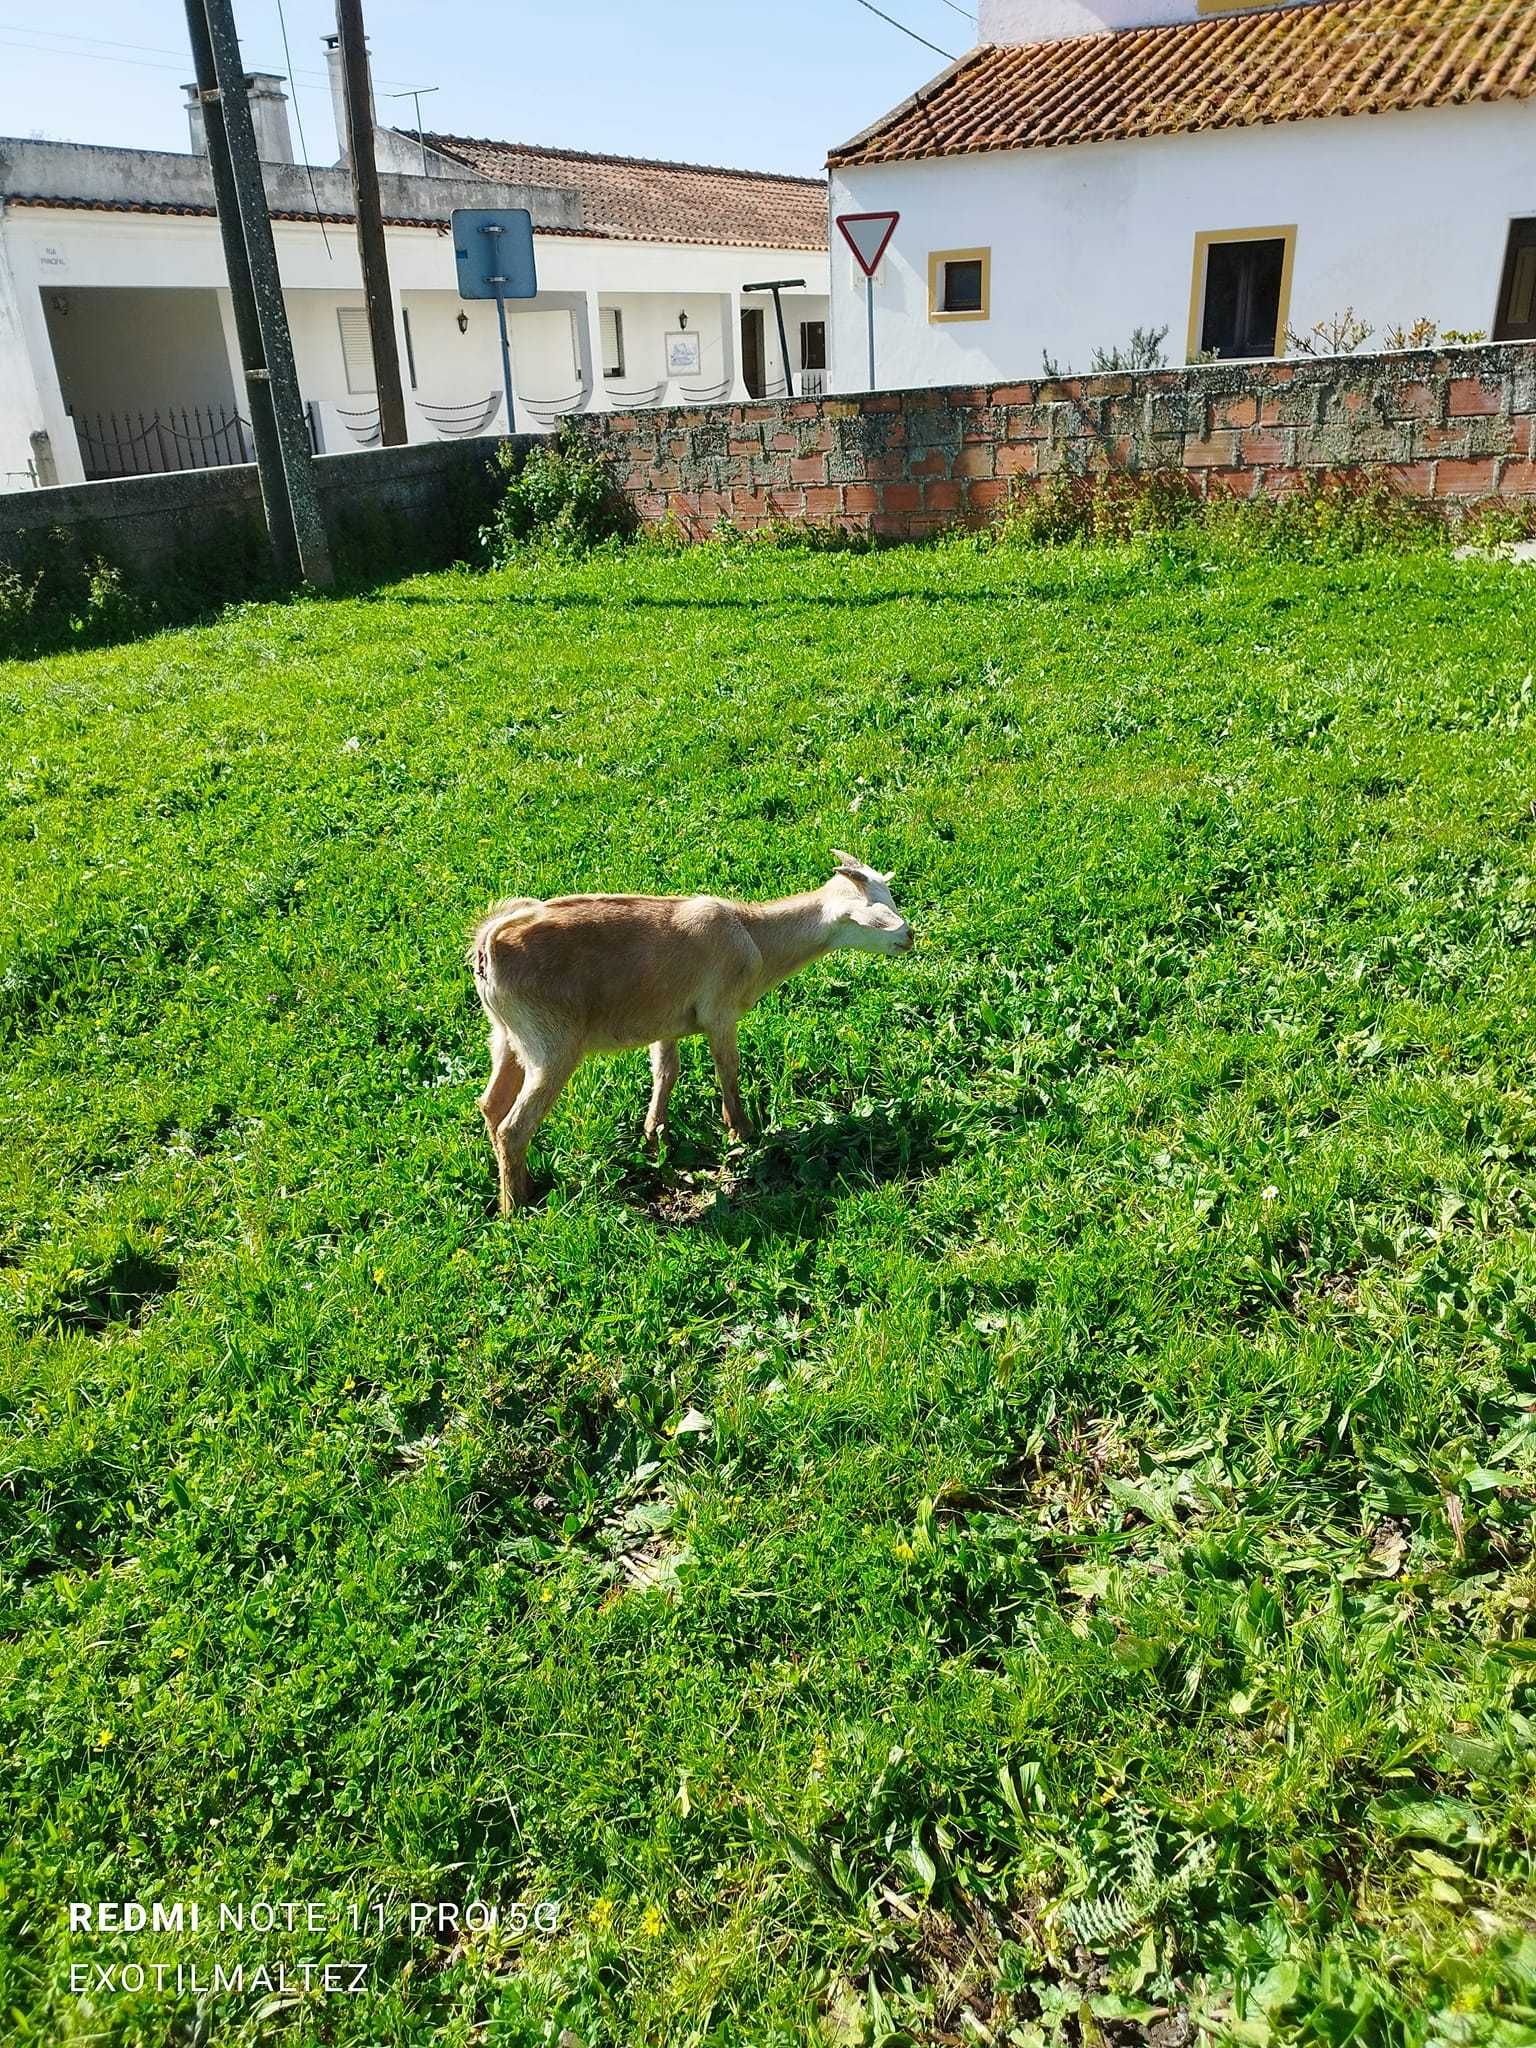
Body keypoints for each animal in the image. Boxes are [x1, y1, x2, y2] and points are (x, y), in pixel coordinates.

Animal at [468, 851, 913, 1204]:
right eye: (875, 913)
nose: (909, 937)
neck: (755, 937)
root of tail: (488, 946)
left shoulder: (665, 1020)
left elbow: (666, 1071)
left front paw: (656, 1137)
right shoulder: (720, 1013)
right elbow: (728, 1070)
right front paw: (742, 1132)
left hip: (507, 1036)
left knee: (491, 1105)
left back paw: (524, 1185)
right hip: (551, 1044)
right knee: (514, 1128)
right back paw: (516, 1207)